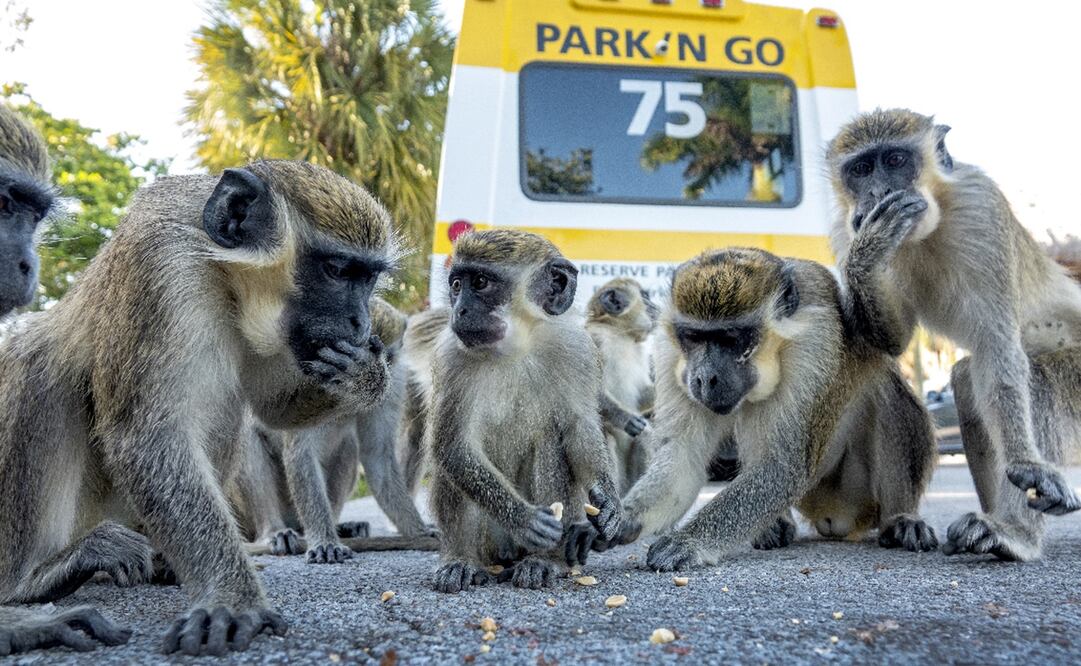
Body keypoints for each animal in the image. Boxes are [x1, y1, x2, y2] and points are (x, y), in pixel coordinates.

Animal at [0, 160, 399, 655]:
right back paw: (34, 579)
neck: (224, 279)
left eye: (368, 278)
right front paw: (233, 598)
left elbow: (273, 410)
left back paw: (165, 566)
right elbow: (147, 437)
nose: (360, 323)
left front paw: (365, 373)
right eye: (338, 270)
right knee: (38, 365)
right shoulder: (161, 265)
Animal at [229, 297, 436, 564]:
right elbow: (302, 454)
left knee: (348, 446)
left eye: (384, 356)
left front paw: (419, 531)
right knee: (249, 440)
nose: (363, 378)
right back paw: (274, 532)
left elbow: (377, 455)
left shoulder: (394, 380)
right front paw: (324, 541)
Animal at [427, 229, 623, 592]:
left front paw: (609, 500)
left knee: (549, 441)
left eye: (480, 283)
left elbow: (579, 427)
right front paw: (523, 518)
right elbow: (453, 447)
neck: (516, 345)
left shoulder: (577, 350)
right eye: (456, 285)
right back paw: (460, 560)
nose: (459, 310)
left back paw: (543, 561)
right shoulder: (450, 359)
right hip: (489, 541)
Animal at [584, 278, 658, 493]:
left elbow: (642, 396)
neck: (619, 332)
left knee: (643, 438)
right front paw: (626, 419)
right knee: (607, 436)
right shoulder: (595, 340)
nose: (655, 306)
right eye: (645, 296)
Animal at [827, 109, 1081, 561]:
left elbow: (997, 346)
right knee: (966, 379)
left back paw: (1015, 533)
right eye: (860, 169)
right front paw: (870, 248)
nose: (877, 193)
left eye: (895, 160)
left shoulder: (982, 209)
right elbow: (892, 341)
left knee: (1033, 381)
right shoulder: (846, 228)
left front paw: (1028, 466)